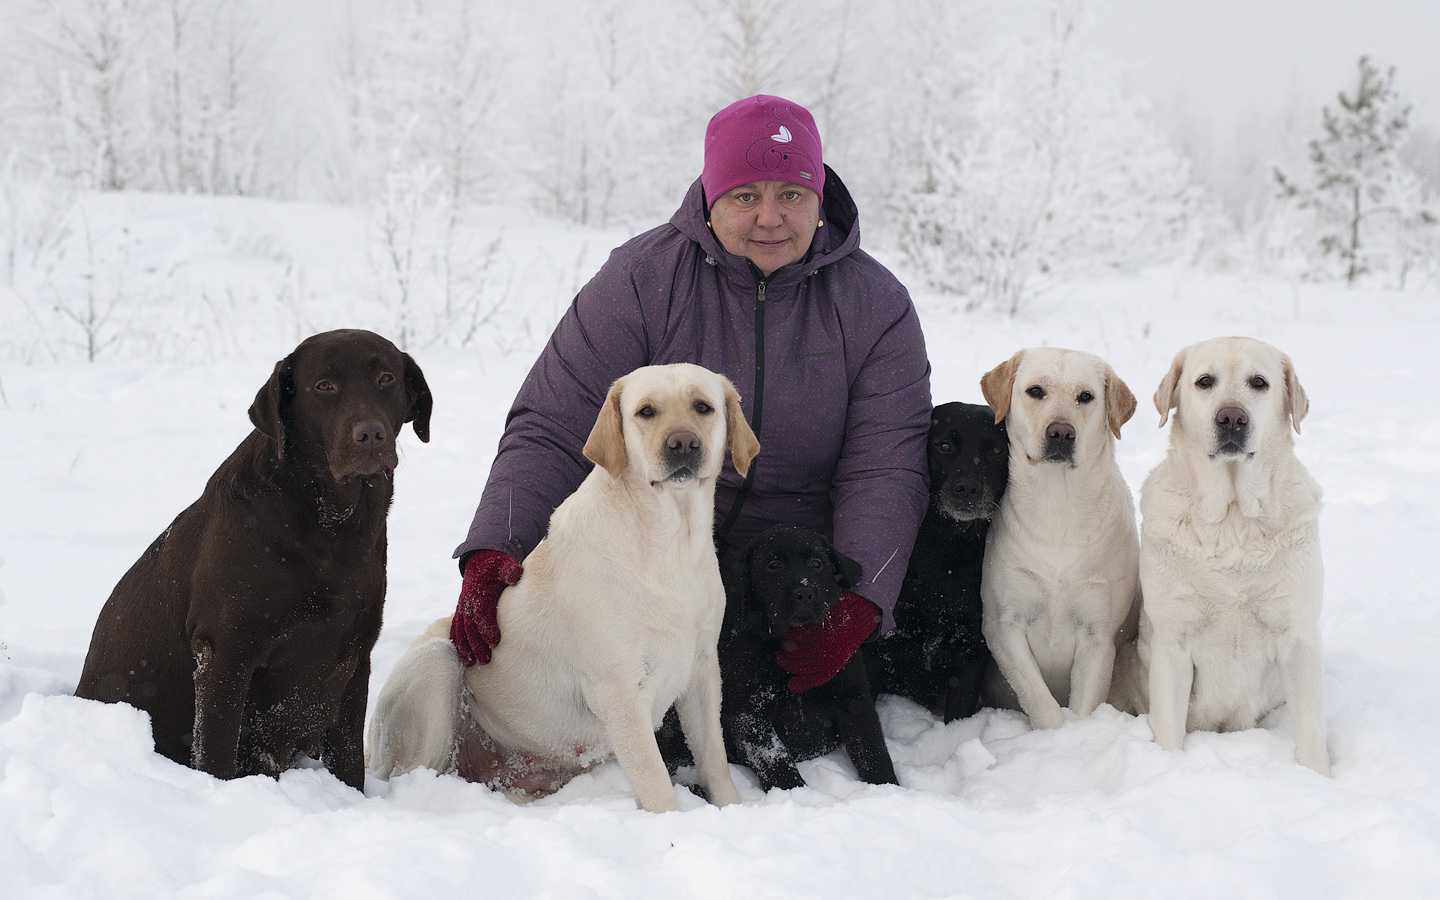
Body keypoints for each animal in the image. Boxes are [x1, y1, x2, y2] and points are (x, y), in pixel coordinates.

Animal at [75, 328, 429, 783]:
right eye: (324, 386)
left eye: (385, 378)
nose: (370, 435)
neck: (329, 524)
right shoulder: (224, 653)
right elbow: (216, 756)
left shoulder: (355, 658)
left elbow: (350, 761)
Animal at [662, 524, 898, 789]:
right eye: (773, 565)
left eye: (817, 563)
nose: (804, 592)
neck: (794, 643)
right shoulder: (748, 711)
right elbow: (776, 759)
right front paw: (795, 791)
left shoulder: (854, 699)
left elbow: (872, 749)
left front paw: (887, 787)